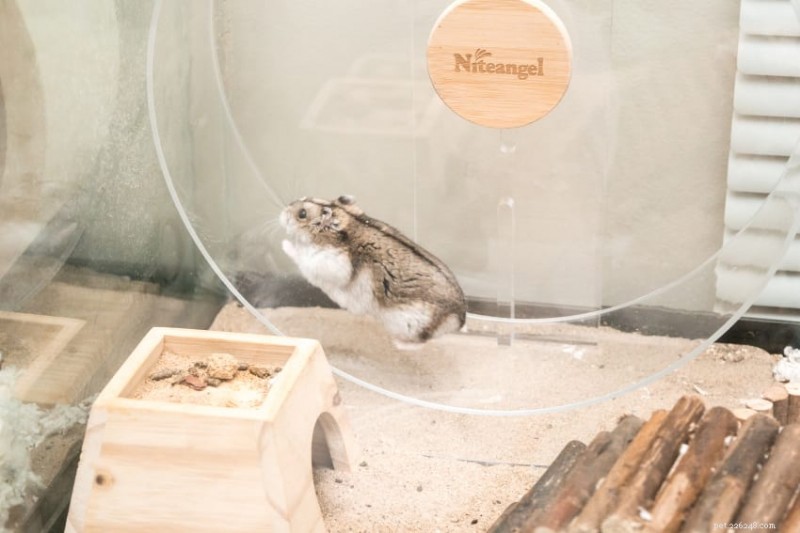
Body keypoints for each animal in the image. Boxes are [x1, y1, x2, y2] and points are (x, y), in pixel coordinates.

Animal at [279, 195, 466, 347]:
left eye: (302, 214)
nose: (281, 213)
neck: (349, 224)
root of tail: (461, 318)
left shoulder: (324, 264)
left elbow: (300, 255)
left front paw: (284, 243)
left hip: (410, 326)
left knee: (420, 343)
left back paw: (397, 344)